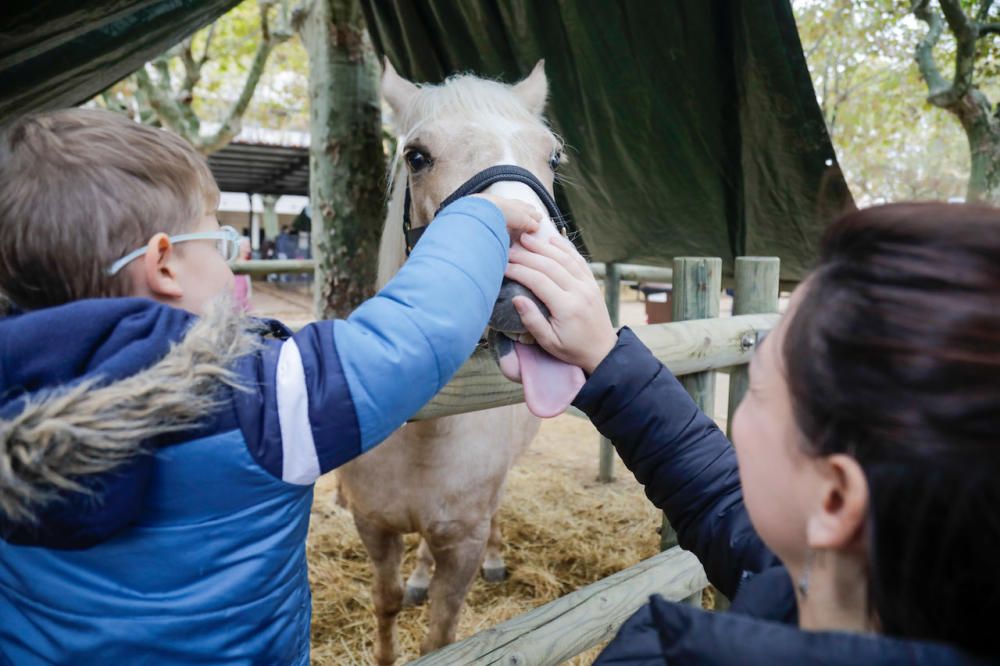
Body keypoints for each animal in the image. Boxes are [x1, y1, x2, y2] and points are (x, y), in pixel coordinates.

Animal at [338, 59, 584, 660]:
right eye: (416, 155)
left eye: (553, 157)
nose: (526, 284)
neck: (427, 433)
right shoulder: (373, 527)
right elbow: (386, 603)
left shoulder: (464, 541)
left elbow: (441, 636)